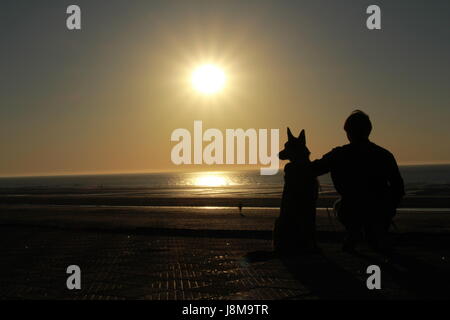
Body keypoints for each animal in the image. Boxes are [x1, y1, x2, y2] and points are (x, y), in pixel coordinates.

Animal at [274, 127, 320, 255]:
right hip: (279, 221)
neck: (300, 164)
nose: (278, 154)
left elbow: (312, 227)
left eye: (287, 146)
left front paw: (315, 247)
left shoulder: (312, 202)